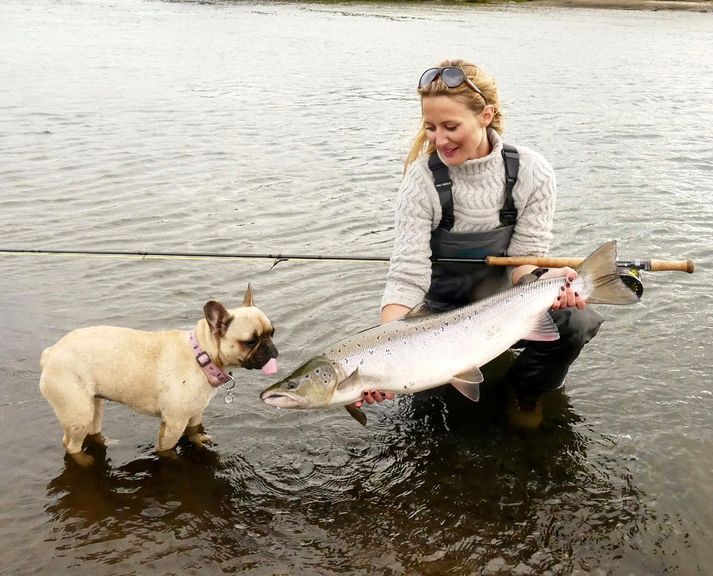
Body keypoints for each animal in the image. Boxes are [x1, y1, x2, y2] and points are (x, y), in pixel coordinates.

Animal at [37, 286, 278, 466]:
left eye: (272, 332)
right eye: (251, 341)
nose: (272, 349)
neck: (202, 356)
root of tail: (50, 353)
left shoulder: (195, 414)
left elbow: (193, 432)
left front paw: (199, 441)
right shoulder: (173, 423)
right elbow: (166, 449)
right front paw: (174, 460)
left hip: (93, 405)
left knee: (93, 430)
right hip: (78, 414)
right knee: (71, 445)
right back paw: (85, 461)